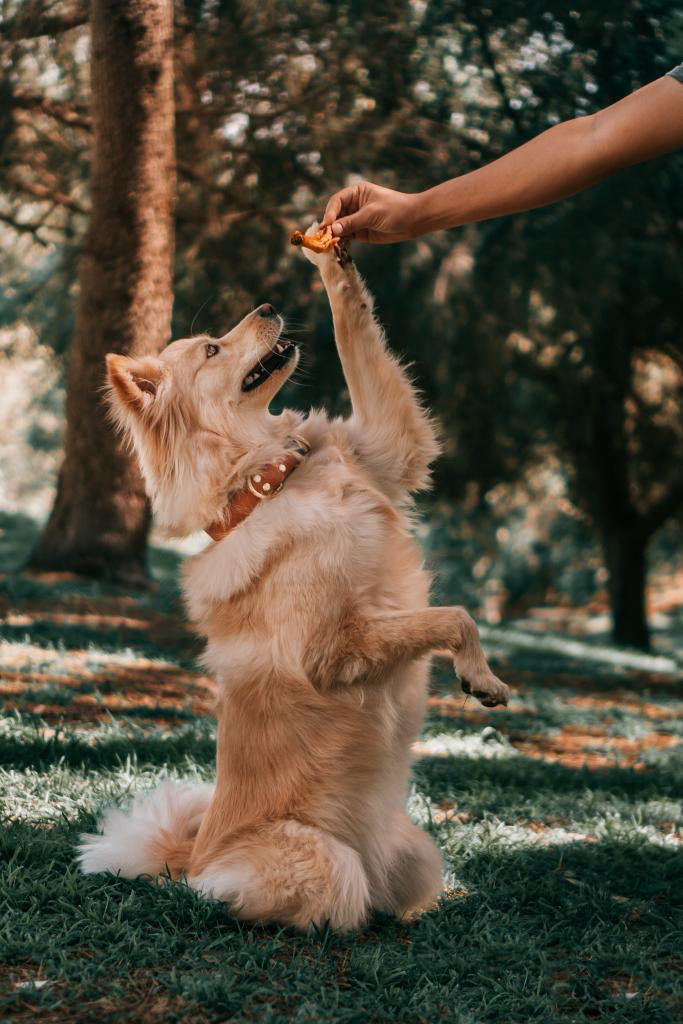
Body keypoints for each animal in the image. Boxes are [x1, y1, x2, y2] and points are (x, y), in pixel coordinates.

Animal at [77, 230, 509, 929]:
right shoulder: (333, 650)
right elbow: (453, 616)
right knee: (294, 902)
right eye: (212, 348)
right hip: (323, 862)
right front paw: (480, 675)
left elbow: (359, 336)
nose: (267, 303)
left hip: (420, 855)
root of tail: (193, 856)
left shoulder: (391, 449)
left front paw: (331, 257)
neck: (270, 480)